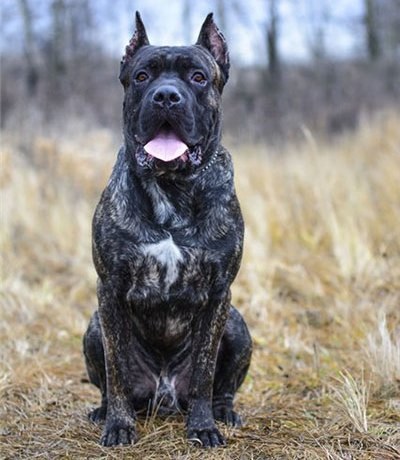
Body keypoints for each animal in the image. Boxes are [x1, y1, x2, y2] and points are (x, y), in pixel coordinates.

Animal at [83, 11, 252, 450]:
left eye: (198, 77)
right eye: (142, 76)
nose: (166, 97)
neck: (171, 187)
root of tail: (163, 391)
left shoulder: (219, 293)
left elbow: (206, 372)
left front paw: (203, 427)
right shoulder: (109, 289)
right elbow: (117, 372)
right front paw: (119, 425)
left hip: (237, 325)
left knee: (221, 387)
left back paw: (224, 412)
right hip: (93, 325)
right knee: (110, 381)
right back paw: (103, 412)